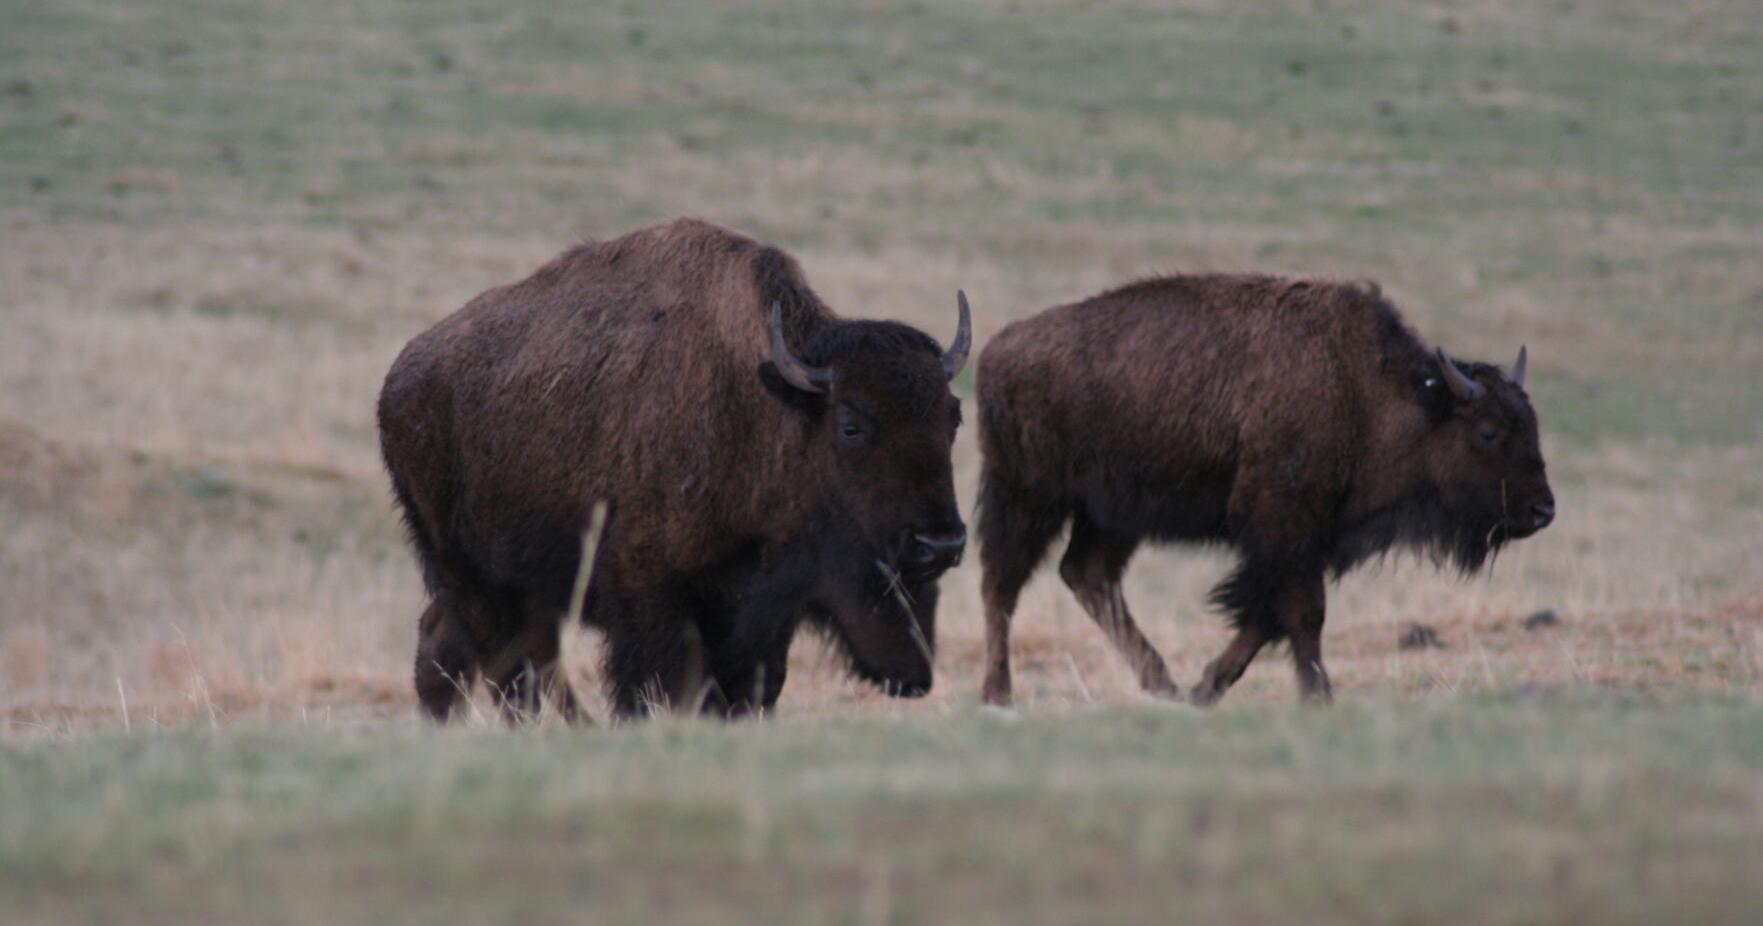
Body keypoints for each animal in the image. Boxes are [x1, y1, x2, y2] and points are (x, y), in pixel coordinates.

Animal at [378, 219, 971, 722]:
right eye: (850, 425)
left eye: (954, 415)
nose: (940, 544)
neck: (770, 409)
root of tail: (401, 375)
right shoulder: (653, 599)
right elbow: (660, 686)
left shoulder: (761, 615)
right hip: (475, 576)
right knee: (507, 667)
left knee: (450, 647)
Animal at [975, 275, 1553, 706]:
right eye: (1488, 432)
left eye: (1531, 424)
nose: (1543, 510)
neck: (1369, 393)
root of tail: (996, 350)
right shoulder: (1285, 527)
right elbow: (1302, 613)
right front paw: (1318, 695)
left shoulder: (1306, 538)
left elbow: (1266, 616)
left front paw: (1206, 689)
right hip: (1027, 496)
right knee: (1002, 584)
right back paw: (999, 695)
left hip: (1113, 514)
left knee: (1086, 574)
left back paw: (1164, 687)